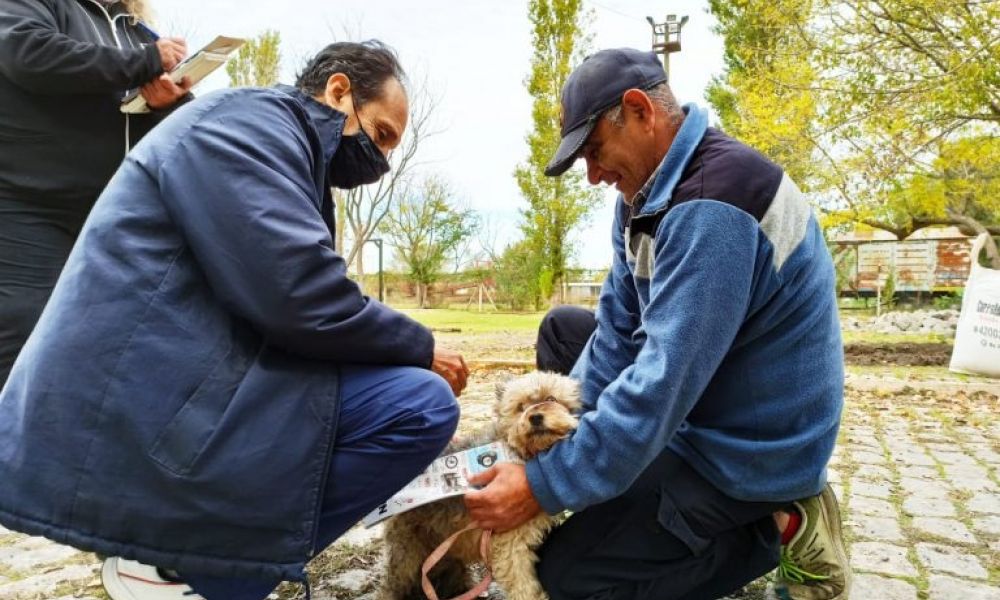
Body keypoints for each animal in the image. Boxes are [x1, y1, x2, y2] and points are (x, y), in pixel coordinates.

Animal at [376, 370, 584, 600]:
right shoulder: (509, 547)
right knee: (391, 586)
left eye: (551, 399)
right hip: (406, 555)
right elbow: (524, 588)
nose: (535, 417)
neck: (517, 451)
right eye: (520, 407)